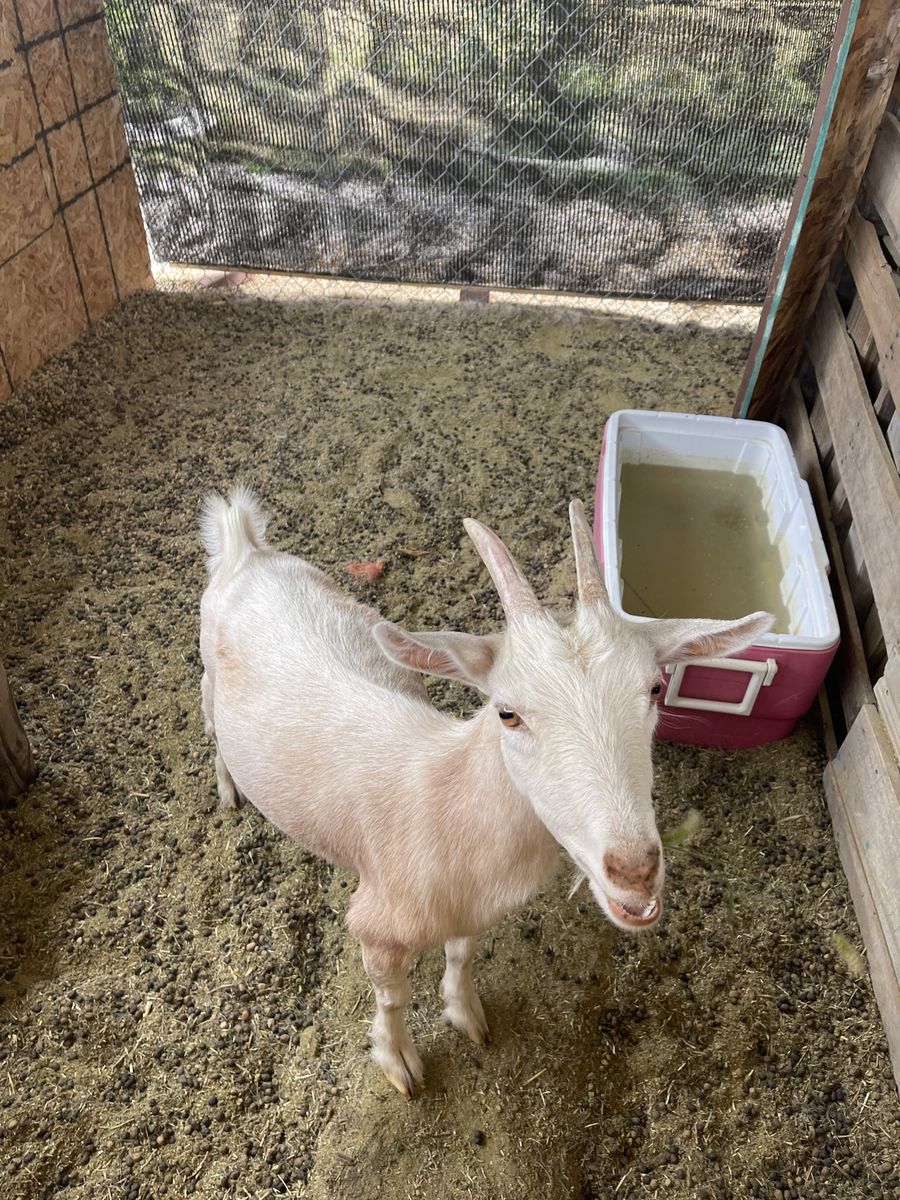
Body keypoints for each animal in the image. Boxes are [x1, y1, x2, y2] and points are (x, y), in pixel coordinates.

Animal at [199, 485, 771, 1096]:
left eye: (656, 688)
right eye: (508, 712)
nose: (634, 871)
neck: (443, 800)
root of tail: (245, 550)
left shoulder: (468, 912)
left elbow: (464, 953)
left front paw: (465, 1012)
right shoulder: (376, 927)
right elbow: (392, 998)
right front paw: (399, 1062)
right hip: (208, 675)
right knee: (212, 726)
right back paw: (229, 789)